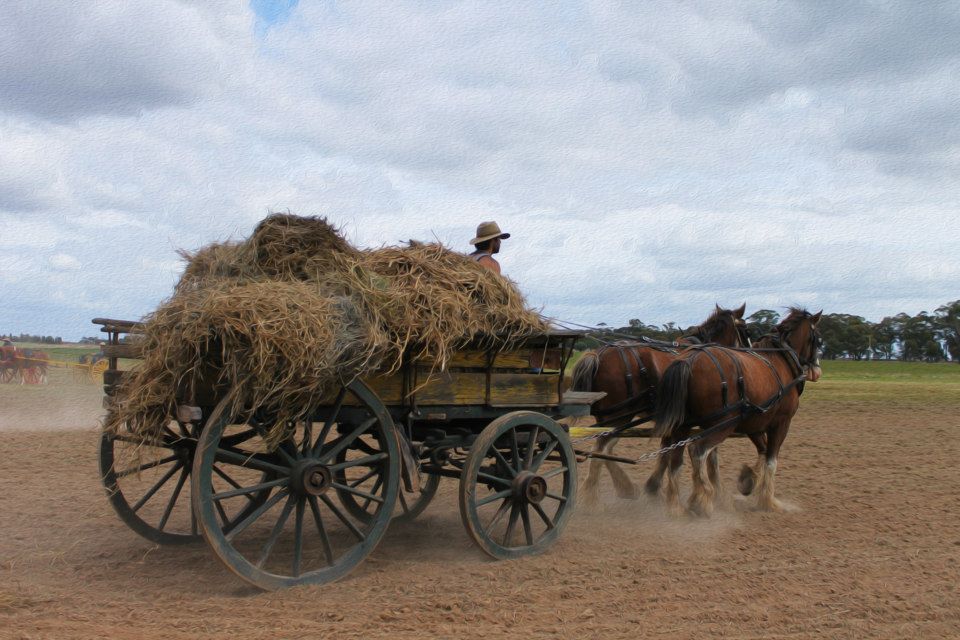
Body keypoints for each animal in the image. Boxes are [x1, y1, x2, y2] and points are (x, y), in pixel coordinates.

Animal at [568, 304, 752, 504]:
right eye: (745, 330)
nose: (749, 354)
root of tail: (598, 354)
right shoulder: (714, 419)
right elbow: (708, 455)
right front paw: (717, 492)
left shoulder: (673, 422)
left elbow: (666, 450)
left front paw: (653, 486)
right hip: (619, 416)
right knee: (600, 448)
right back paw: (593, 494)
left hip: (611, 417)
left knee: (604, 448)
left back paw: (622, 487)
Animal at [656, 308, 820, 516]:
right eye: (818, 339)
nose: (817, 370)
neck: (782, 361)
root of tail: (689, 359)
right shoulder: (781, 423)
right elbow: (771, 460)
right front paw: (768, 501)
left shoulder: (755, 423)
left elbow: (763, 451)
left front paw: (749, 479)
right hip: (722, 425)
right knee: (697, 451)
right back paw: (703, 499)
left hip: (684, 425)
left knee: (676, 457)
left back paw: (675, 505)